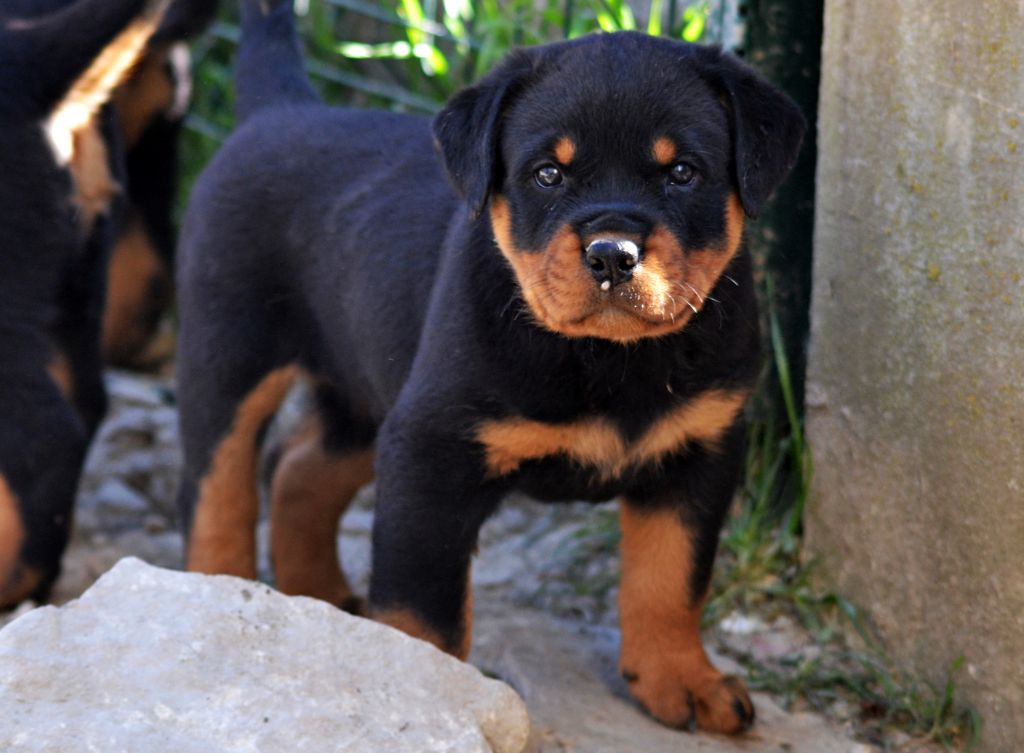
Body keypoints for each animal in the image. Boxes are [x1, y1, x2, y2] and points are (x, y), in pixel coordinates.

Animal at [176, 0, 804, 733]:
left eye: (682, 173)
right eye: (548, 174)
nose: (612, 253)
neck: (608, 358)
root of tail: (280, 109)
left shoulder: (702, 449)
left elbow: (672, 575)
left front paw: (683, 677)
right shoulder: (433, 448)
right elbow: (424, 606)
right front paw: (422, 688)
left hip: (373, 389)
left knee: (300, 467)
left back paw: (319, 599)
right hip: (229, 351)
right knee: (219, 484)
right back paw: (219, 587)